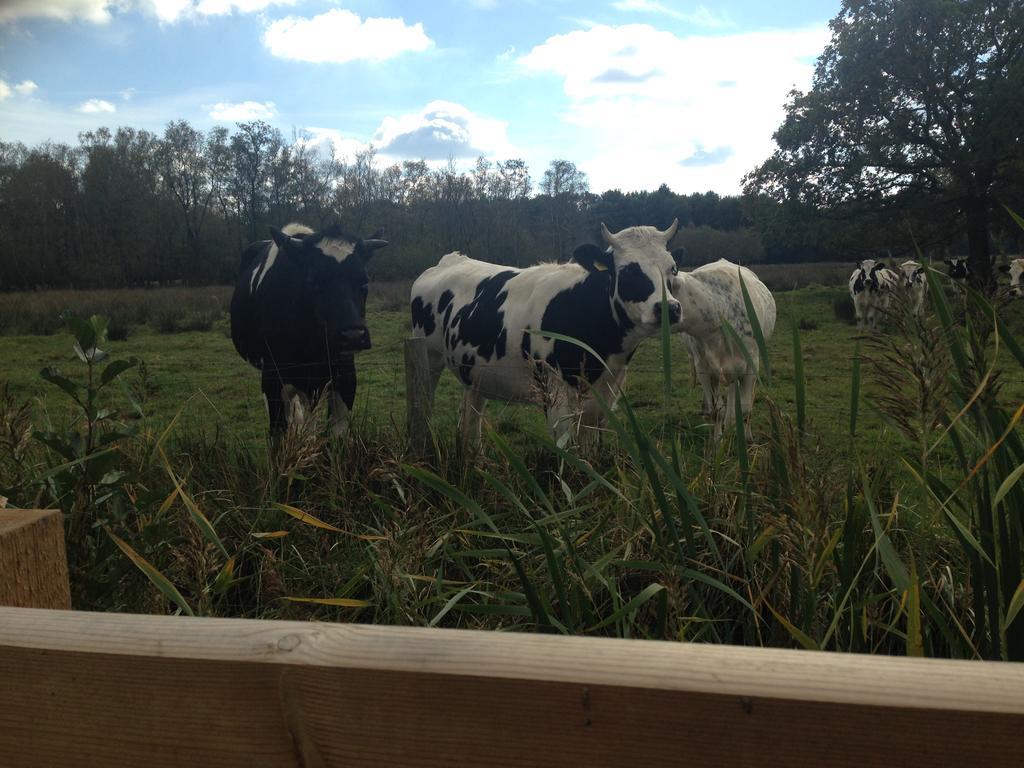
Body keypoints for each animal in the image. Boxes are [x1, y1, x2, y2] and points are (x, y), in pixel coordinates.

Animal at [231, 225, 387, 436]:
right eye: (313, 281)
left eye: (364, 281)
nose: (353, 335)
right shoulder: (272, 381)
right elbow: (278, 435)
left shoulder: (345, 377)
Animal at [405, 221, 679, 450]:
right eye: (629, 271)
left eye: (673, 269)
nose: (670, 308)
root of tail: (450, 259)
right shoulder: (555, 391)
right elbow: (567, 451)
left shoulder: (606, 391)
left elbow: (590, 450)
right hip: (428, 358)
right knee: (425, 404)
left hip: (475, 370)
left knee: (470, 415)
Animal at [671, 259, 774, 442]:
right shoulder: (703, 368)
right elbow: (716, 408)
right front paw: (717, 440)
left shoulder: (751, 365)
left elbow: (746, 408)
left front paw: (746, 438)